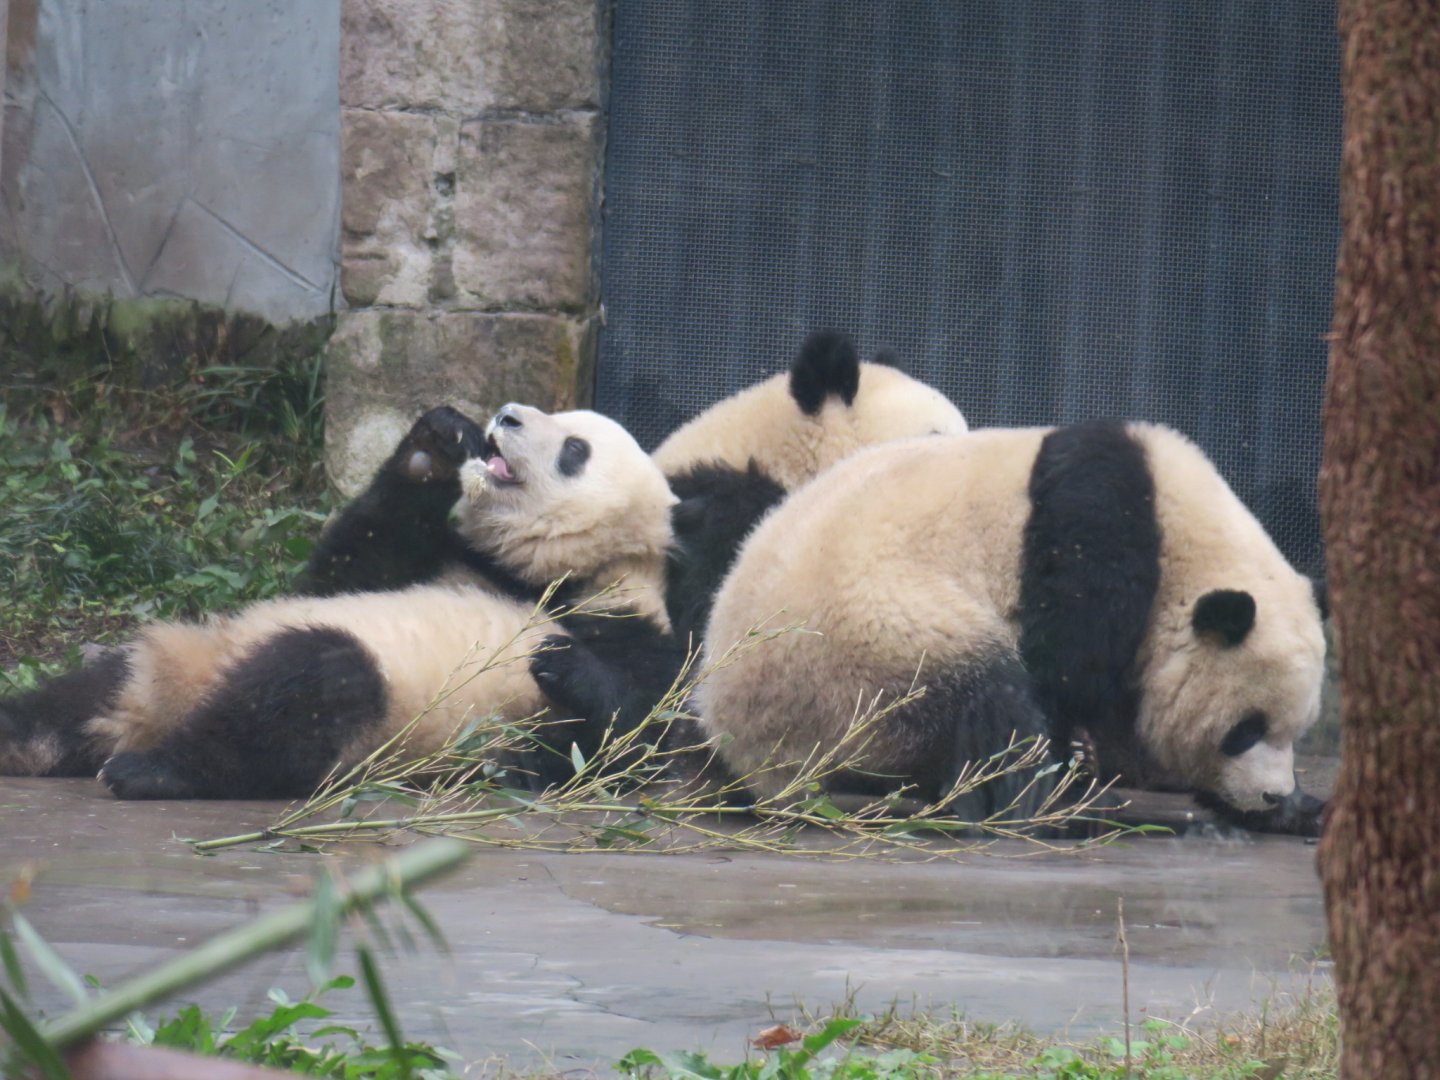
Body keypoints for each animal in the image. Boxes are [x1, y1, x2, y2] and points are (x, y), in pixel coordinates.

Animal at [0, 405, 682, 799]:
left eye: (574, 450)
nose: (507, 417)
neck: (536, 574)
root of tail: (160, 711)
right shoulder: (444, 564)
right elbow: (344, 568)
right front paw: (435, 443)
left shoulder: (622, 620)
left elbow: (637, 743)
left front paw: (558, 660)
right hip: (176, 652)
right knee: (74, 699)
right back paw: (24, 740)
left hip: (362, 716)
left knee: (310, 691)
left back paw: (153, 770)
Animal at [697, 419, 1328, 835]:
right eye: (1245, 729)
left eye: (1295, 732)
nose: (1270, 795)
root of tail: (748, 754)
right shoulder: (1093, 538)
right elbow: (1074, 674)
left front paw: (1303, 809)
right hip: (865, 651)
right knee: (987, 704)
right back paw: (1044, 801)